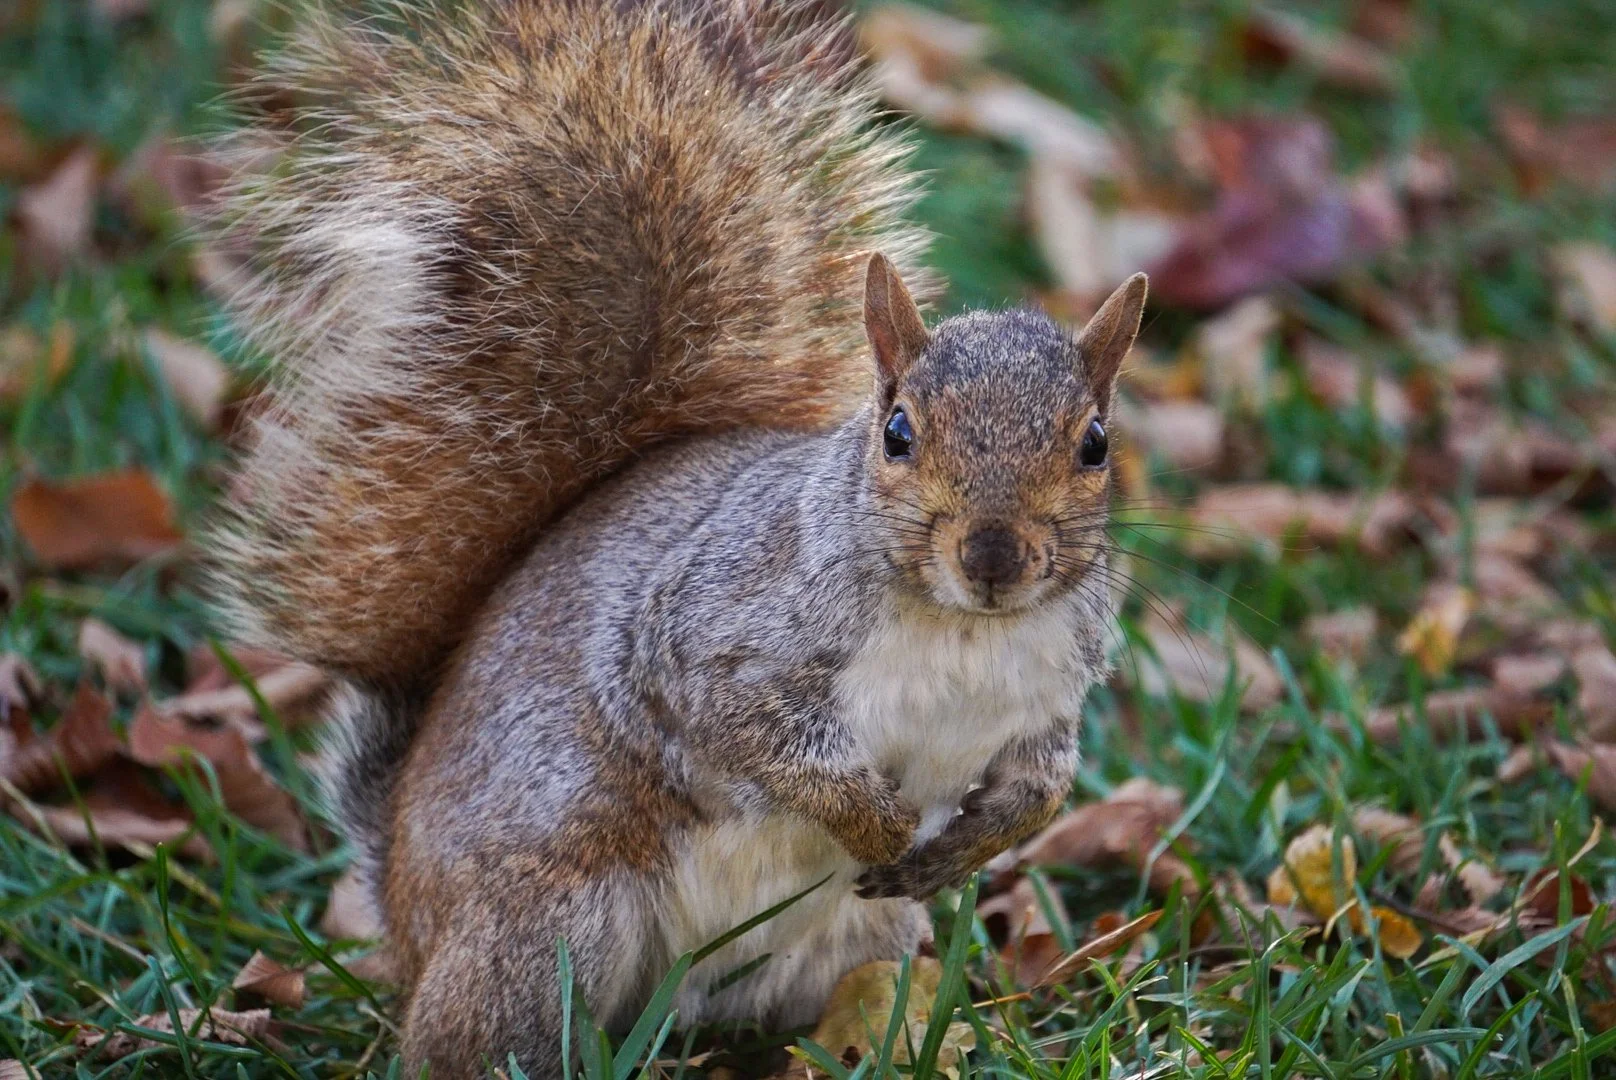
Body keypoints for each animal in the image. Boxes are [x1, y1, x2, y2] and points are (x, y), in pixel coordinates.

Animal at [208, 0, 1147, 1076]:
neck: (964, 631)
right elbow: (756, 735)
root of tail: (407, 919)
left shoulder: (1047, 694)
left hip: (862, 945)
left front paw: (958, 849)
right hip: (540, 932)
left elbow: (1042, 783)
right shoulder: (708, 636)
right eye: (898, 432)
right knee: (466, 1038)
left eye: (1095, 443)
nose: (993, 557)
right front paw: (878, 823)